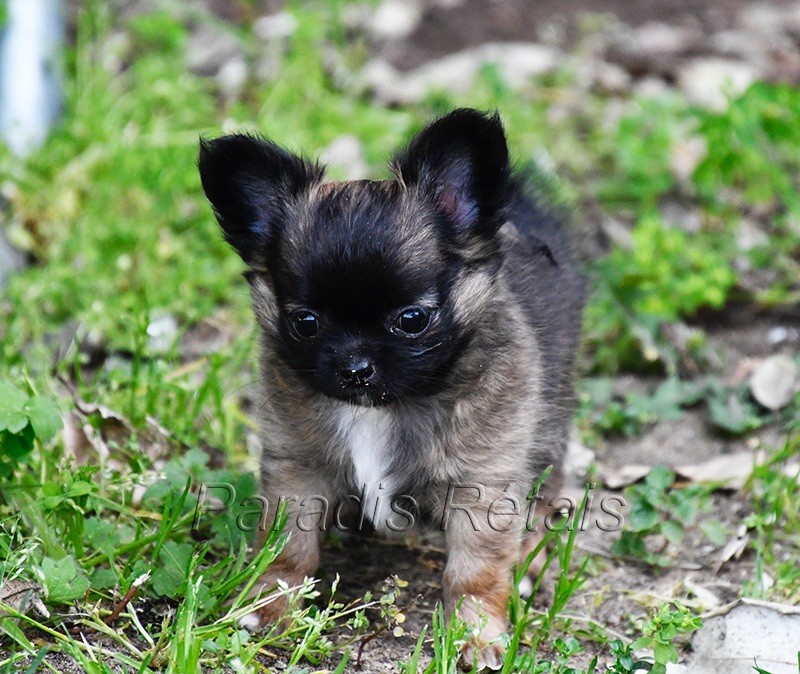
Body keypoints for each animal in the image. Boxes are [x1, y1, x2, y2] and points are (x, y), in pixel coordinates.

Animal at [200, 110, 584, 668]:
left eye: (412, 320)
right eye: (305, 323)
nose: (355, 366)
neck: (379, 410)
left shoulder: (483, 484)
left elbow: (476, 571)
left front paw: (477, 634)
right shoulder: (297, 469)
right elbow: (288, 545)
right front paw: (271, 603)